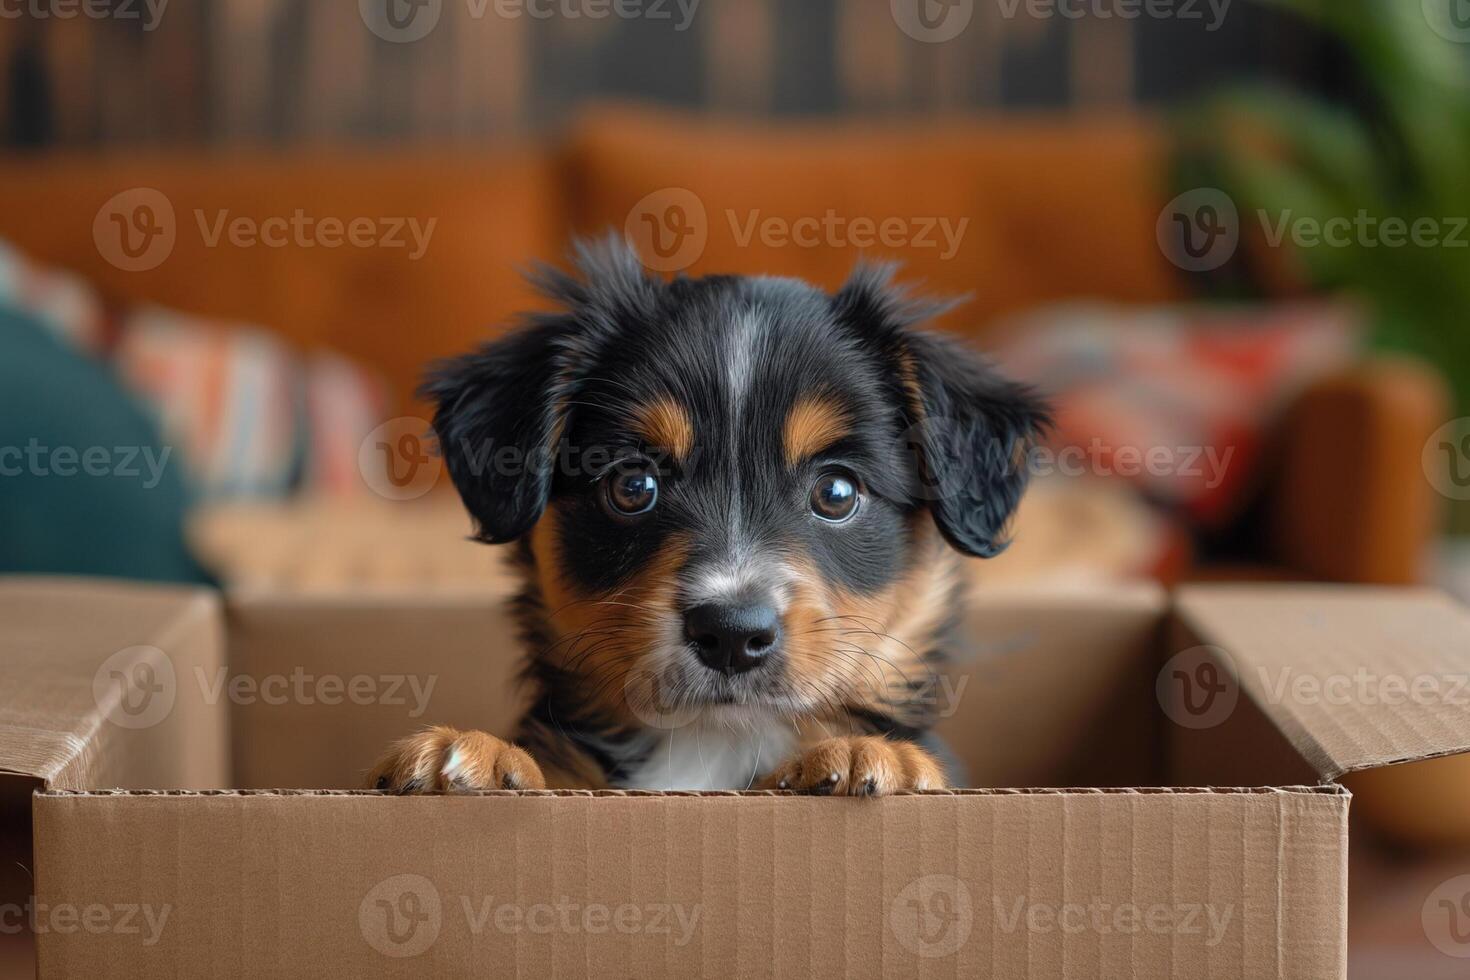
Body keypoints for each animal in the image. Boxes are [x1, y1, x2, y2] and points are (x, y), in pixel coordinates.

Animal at [373, 238, 1052, 799]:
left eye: (837, 492)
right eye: (633, 485)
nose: (731, 633)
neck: (712, 744)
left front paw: (869, 756)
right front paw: (476, 757)